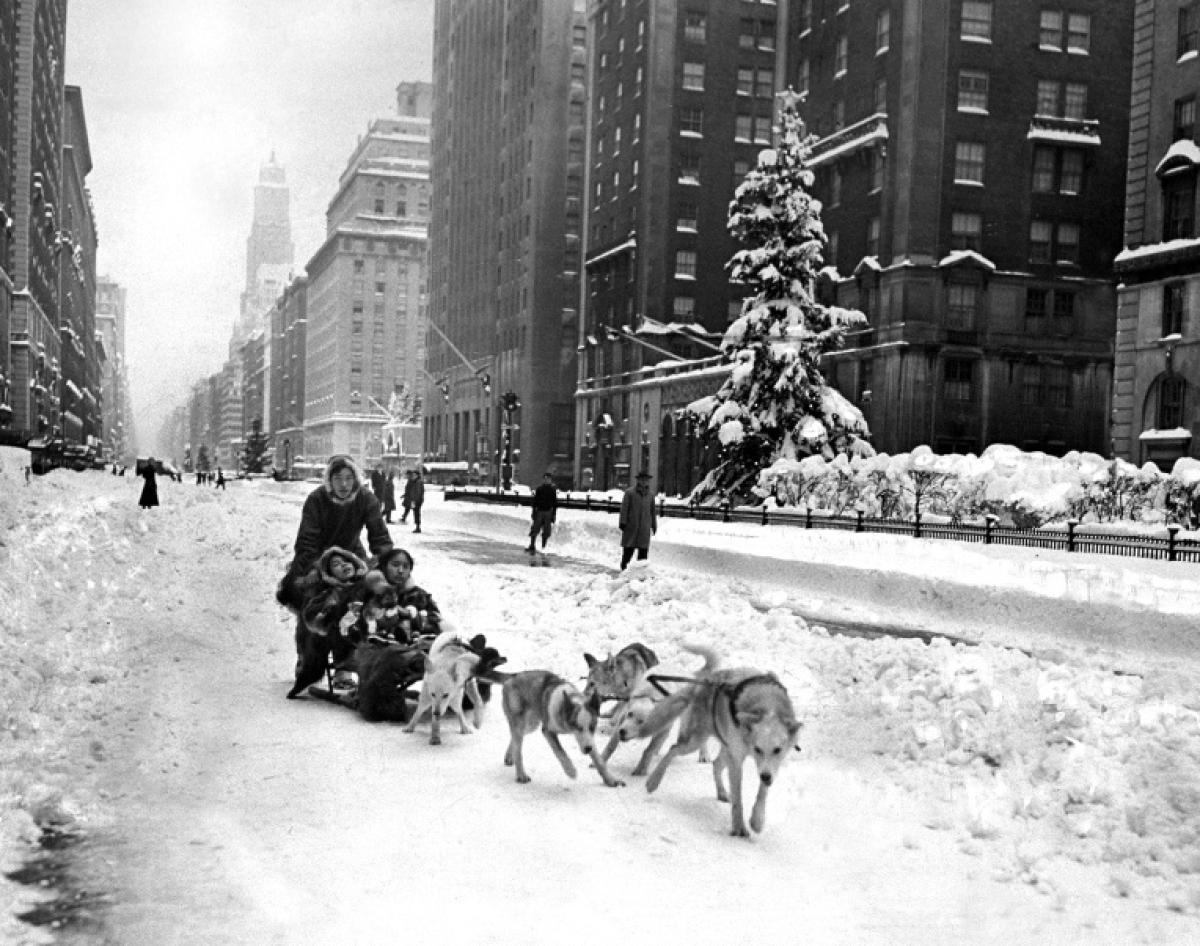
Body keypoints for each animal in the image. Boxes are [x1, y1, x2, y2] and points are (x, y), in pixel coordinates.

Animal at [638, 643, 796, 835]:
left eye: (777, 750)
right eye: (757, 749)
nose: (765, 777)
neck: (767, 705)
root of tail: (704, 682)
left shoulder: (770, 765)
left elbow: (762, 793)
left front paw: (757, 820)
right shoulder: (738, 760)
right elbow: (738, 798)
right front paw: (739, 827)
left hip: (724, 749)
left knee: (716, 764)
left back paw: (721, 792)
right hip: (696, 741)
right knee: (673, 749)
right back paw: (654, 780)